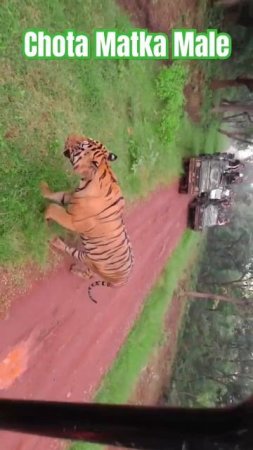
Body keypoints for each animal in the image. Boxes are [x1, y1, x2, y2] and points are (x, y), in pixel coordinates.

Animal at [40, 134, 134, 302]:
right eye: (88, 139)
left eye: (81, 145)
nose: (70, 135)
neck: (88, 179)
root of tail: (124, 280)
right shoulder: (70, 197)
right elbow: (55, 195)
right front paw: (42, 186)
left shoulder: (73, 220)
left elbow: (53, 208)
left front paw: (44, 219)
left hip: (90, 259)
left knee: (78, 259)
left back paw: (57, 245)